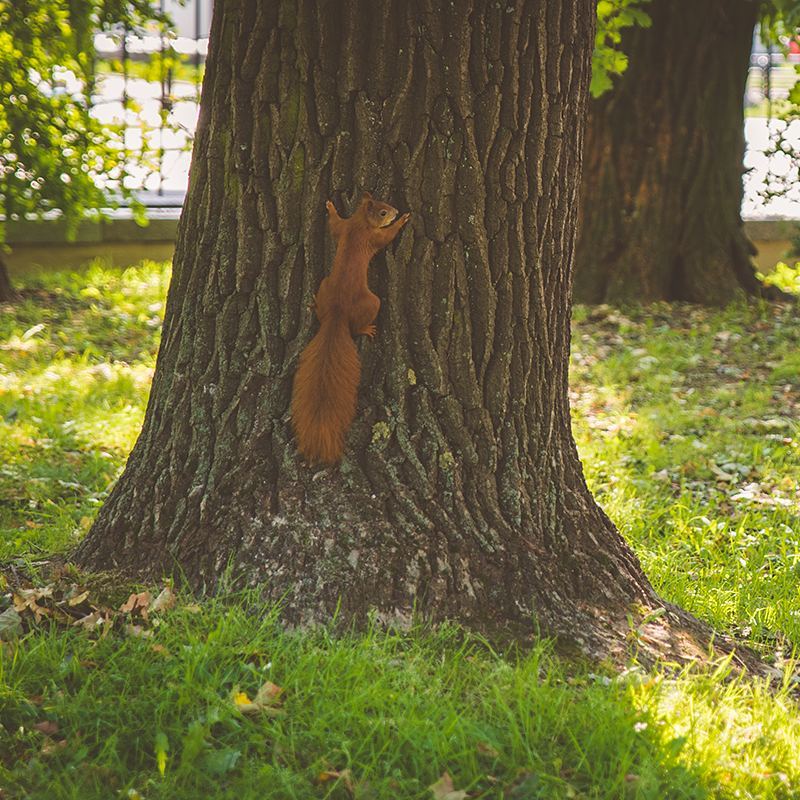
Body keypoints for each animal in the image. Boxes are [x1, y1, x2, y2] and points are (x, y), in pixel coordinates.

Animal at [291, 192, 411, 465]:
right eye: (383, 212)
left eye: (385, 205)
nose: (396, 211)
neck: (359, 223)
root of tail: (338, 313)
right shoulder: (372, 237)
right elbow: (386, 237)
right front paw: (403, 222)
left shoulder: (343, 228)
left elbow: (335, 225)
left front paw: (331, 207)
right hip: (373, 302)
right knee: (359, 324)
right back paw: (366, 329)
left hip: (325, 284)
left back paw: (314, 303)